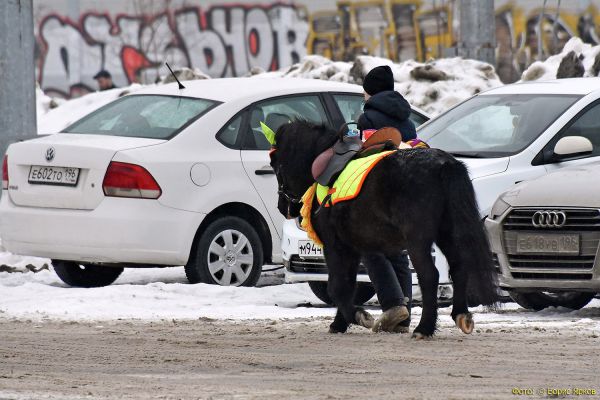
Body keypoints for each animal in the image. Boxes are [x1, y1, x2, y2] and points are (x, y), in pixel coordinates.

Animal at [270, 120, 500, 340]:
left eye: (274, 164)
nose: (283, 206)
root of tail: (445, 164)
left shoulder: (335, 246)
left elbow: (337, 287)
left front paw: (357, 316)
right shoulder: (352, 247)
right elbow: (347, 286)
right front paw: (340, 322)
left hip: (418, 241)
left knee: (429, 275)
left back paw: (424, 328)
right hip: (448, 234)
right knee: (459, 266)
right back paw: (460, 314)